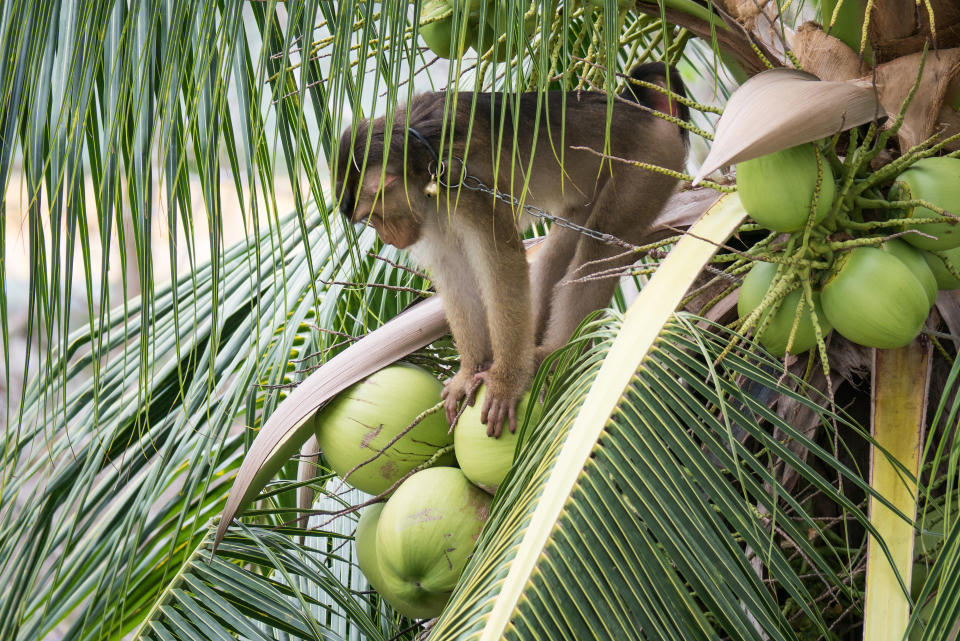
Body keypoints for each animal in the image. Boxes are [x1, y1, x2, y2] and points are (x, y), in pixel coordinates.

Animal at [334, 62, 688, 438]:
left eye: (373, 218)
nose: (387, 238)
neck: (418, 154)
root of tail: (641, 111)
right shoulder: (431, 210)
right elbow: (454, 272)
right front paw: (470, 371)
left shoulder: (465, 185)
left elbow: (503, 266)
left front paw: (505, 382)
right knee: (560, 248)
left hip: (650, 163)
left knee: (599, 245)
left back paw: (556, 351)